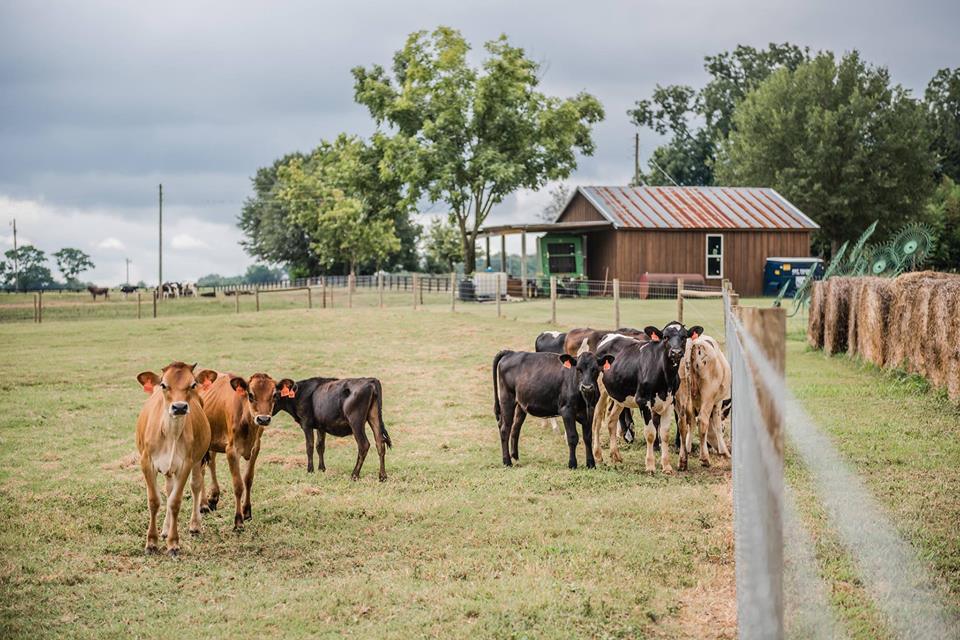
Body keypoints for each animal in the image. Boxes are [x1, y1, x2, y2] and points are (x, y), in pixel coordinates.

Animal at [135, 360, 214, 556]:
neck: (170, 433)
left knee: (195, 485)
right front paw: (152, 542)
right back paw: (164, 529)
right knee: (169, 489)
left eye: (192, 384)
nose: (179, 407)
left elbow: (175, 502)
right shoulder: (146, 462)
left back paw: (195, 525)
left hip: (197, 460)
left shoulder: (185, 464)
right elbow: (154, 500)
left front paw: (173, 544)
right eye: (164, 385)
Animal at [199, 370, 292, 528]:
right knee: (201, 470)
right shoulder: (231, 451)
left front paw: (247, 511)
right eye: (250, 394)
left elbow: (248, 479)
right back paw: (203, 505)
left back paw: (213, 498)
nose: (263, 419)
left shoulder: (256, 448)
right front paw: (238, 521)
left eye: (275, 395)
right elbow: (238, 485)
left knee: (211, 464)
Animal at [588, 322, 700, 472]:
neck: (665, 377)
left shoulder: (669, 402)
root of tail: (609, 335)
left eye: (684, 337)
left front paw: (667, 466)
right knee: (597, 422)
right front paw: (650, 466)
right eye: (665, 337)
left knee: (611, 421)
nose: (676, 352)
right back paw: (598, 456)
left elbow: (664, 434)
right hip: (600, 392)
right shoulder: (643, 401)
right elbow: (651, 434)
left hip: (620, 395)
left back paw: (616, 455)